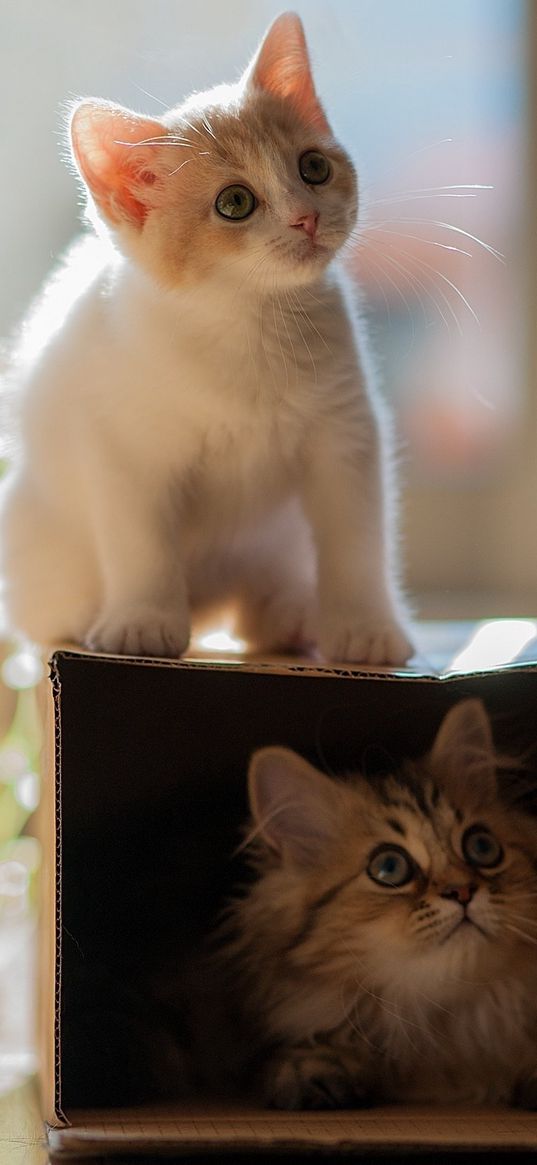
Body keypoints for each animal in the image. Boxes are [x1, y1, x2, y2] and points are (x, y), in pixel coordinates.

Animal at [0, 11, 410, 666]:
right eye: (234, 202)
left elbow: (358, 539)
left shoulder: (346, 434)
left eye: (313, 167)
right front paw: (142, 622)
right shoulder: (124, 443)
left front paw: (366, 630)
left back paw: (294, 614)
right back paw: (91, 618)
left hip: (278, 545)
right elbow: (141, 541)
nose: (306, 218)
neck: (248, 324)